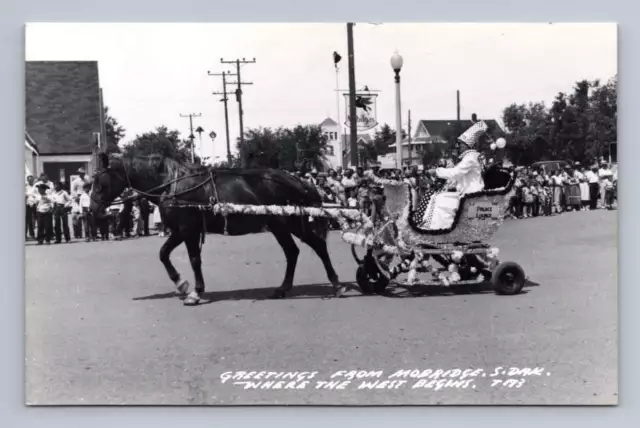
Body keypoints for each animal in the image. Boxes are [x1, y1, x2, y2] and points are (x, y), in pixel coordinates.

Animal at [90, 152, 344, 306]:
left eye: (100, 182)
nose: (94, 209)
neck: (172, 184)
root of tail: (298, 180)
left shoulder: (187, 229)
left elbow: (191, 259)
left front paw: (192, 291)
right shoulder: (181, 230)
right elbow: (165, 254)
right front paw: (183, 284)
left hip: (288, 223)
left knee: (318, 246)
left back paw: (336, 284)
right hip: (278, 225)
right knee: (292, 252)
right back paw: (283, 288)